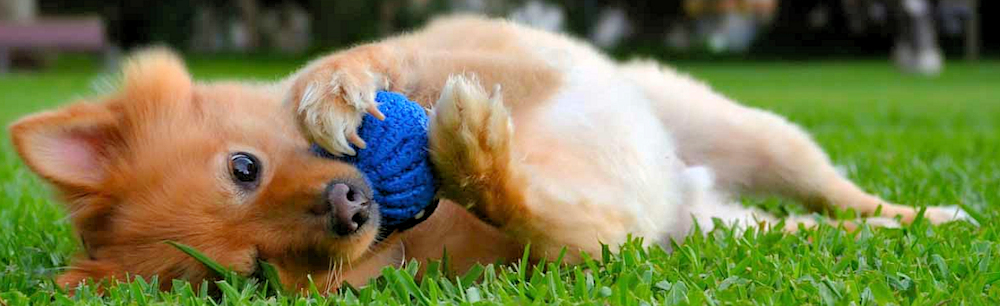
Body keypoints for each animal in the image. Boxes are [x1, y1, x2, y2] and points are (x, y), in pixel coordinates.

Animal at [11, 15, 972, 292]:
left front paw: (339, 86)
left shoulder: (509, 50)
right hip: (724, 230)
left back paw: (929, 213)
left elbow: (386, 60)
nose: (350, 206)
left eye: (244, 167)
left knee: (841, 196)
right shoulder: (595, 242)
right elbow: (545, 219)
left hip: (759, 138)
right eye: (255, 276)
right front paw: (480, 159)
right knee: (810, 231)